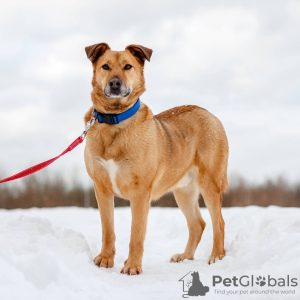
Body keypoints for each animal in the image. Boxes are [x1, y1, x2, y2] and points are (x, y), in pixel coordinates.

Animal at [83, 43, 229, 276]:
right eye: (105, 66)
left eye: (128, 66)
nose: (114, 83)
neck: (115, 121)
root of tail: (208, 113)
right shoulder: (101, 187)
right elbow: (108, 229)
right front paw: (105, 259)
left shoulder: (140, 192)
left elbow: (136, 234)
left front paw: (132, 266)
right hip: (183, 191)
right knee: (197, 224)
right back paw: (185, 256)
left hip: (210, 183)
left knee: (219, 223)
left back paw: (216, 256)